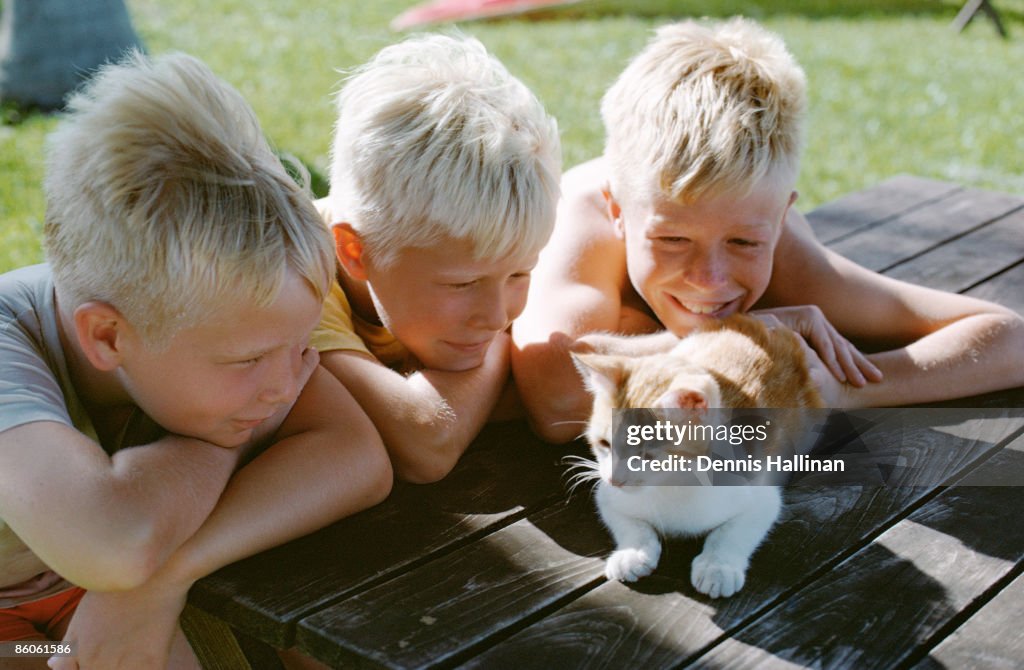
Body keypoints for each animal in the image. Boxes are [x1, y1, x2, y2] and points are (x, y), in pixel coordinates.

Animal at [573, 317, 819, 602]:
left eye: (647, 454)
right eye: (604, 444)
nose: (615, 479)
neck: (673, 484)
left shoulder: (761, 495)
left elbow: (732, 532)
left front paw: (718, 566)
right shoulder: (607, 496)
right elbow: (630, 524)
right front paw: (632, 553)